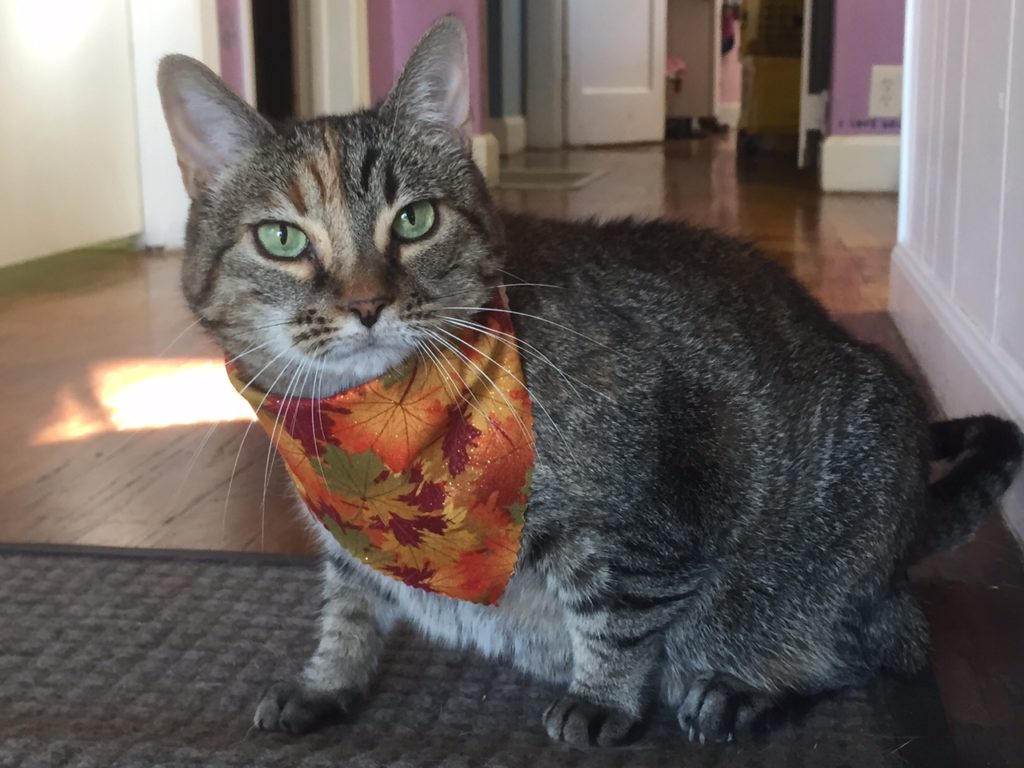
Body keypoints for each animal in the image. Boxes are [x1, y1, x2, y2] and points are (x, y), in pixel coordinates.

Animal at [157, 16, 1023, 747]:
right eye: (281, 239)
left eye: (414, 221)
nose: (367, 304)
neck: (374, 432)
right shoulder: (349, 547)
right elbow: (348, 611)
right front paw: (327, 682)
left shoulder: (650, 522)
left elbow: (617, 619)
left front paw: (603, 698)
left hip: (826, 550)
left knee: (869, 648)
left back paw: (744, 691)